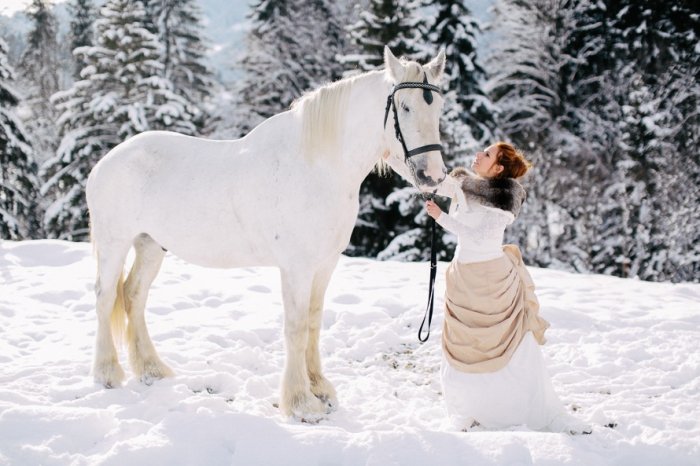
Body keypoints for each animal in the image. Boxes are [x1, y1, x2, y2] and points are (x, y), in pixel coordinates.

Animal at [87, 46, 446, 418]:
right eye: (405, 107)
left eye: (438, 107)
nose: (434, 176)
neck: (317, 166)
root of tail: (106, 161)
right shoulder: (296, 268)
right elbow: (296, 328)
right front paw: (302, 403)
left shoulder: (324, 265)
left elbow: (313, 323)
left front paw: (320, 389)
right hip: (115, 243)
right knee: (105, 297)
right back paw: (107, 373)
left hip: (150, 245)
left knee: (133, 296)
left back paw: (151, 370)